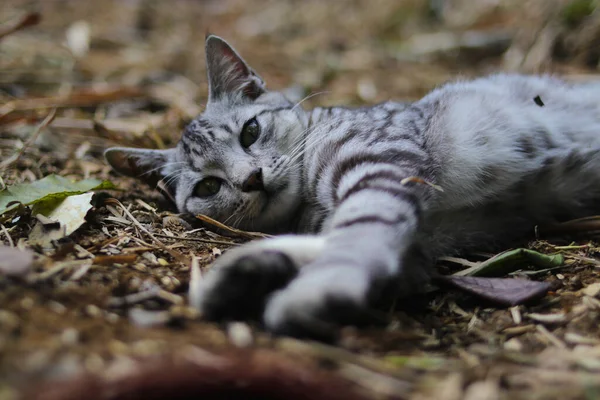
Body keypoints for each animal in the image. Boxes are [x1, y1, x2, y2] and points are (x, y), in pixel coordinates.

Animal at [105, 36, 600, 340]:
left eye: (250, 132)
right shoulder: (423, 241)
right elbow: (329, 244)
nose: (251, 178)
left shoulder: (379, 172)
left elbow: (355, 239)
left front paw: (316, 290)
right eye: (208, 185)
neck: (310, 202)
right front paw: (239, 276)